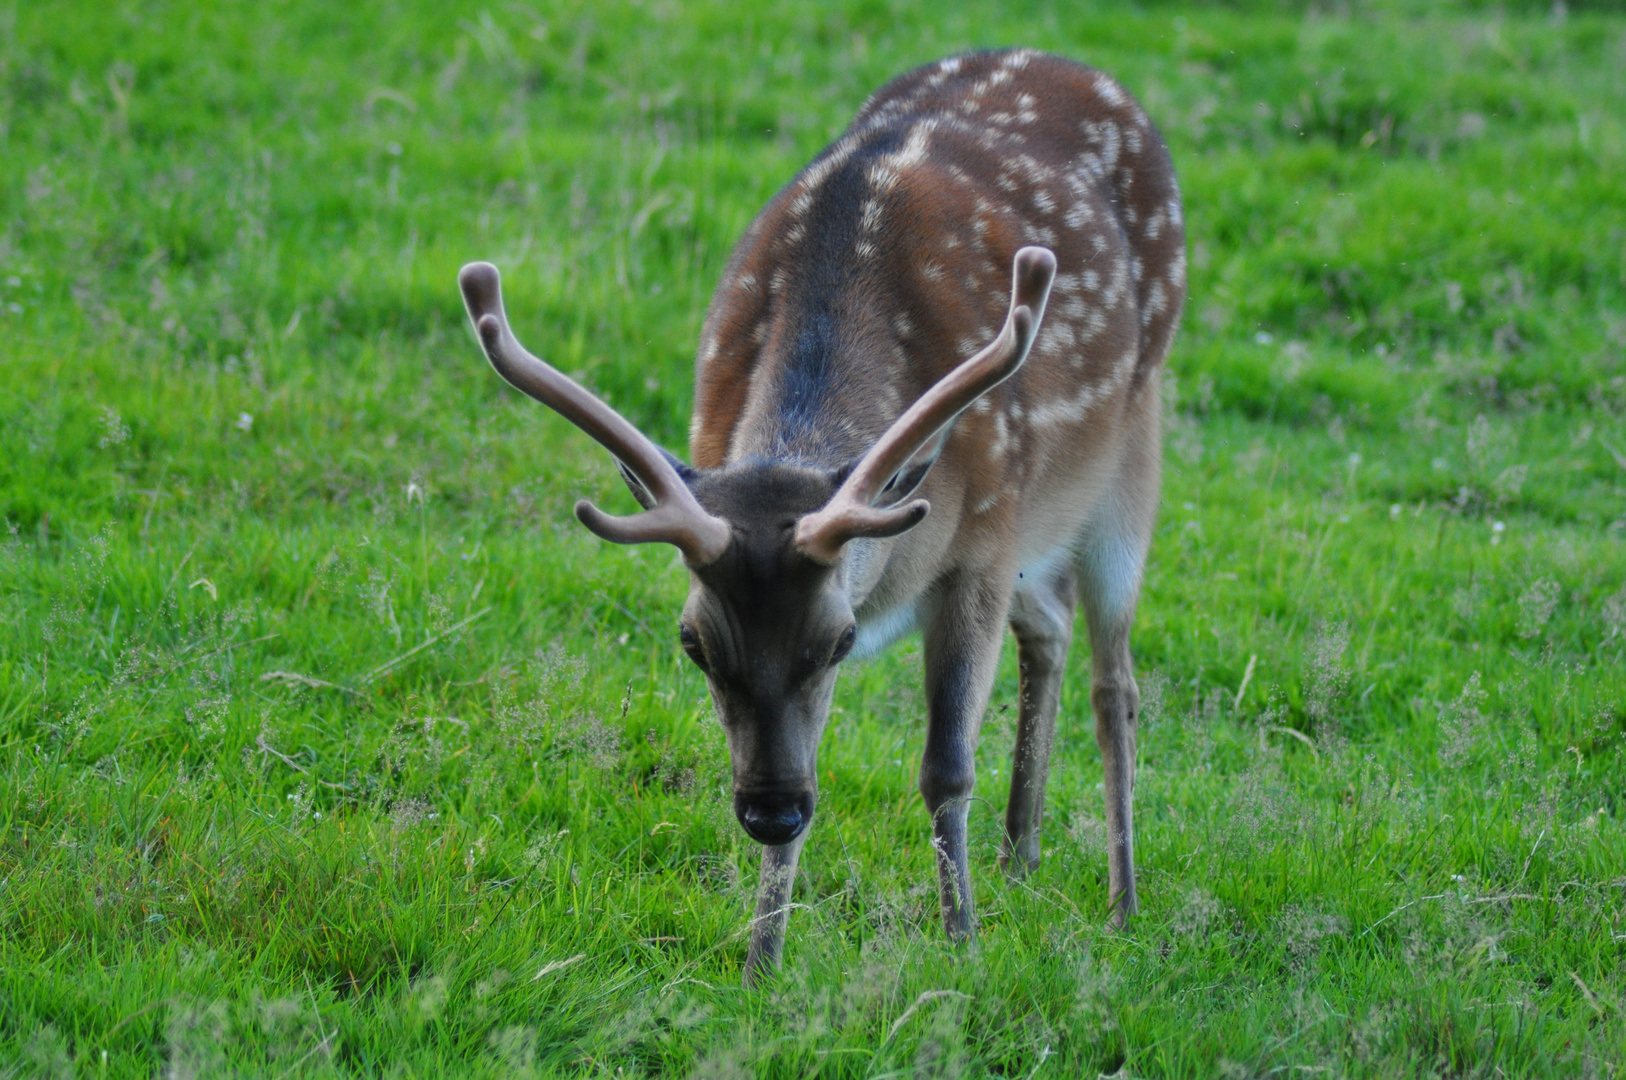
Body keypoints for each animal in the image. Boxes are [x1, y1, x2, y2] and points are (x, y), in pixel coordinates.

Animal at [458, 46, 1183, 982]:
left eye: (838, 641)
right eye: (693, 643)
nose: (769, 811)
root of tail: (1088, 71)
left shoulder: (985, 540)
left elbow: (947, 767)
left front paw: (961, 944)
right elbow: (811, 767)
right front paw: (761, 959)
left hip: (1128, 453)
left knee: (1114, 678)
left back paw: (1122, 904)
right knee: (1051, 626)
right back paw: (1019, 855)